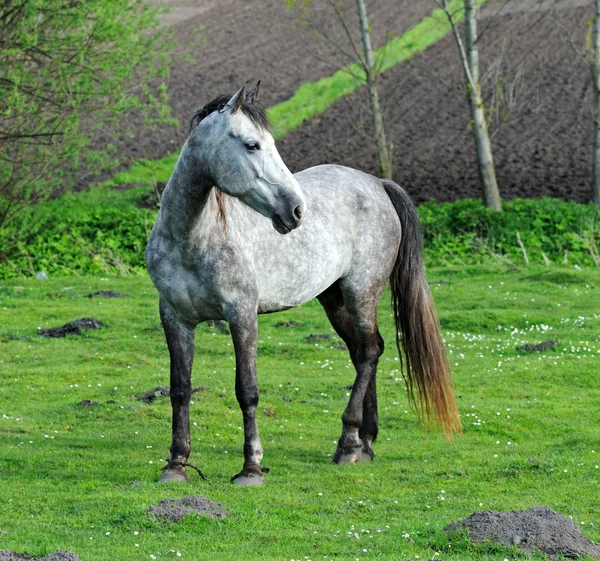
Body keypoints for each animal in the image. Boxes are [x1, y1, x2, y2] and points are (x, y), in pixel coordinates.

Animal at [146, 82, 464, 486]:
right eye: (252, 145)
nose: (296, 210)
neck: (193, 239)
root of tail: (377, 184)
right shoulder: (174, 318)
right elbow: (180, 390)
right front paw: (176, 464)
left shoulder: (242, 315)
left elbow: (247, 390)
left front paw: (251, 468)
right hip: (333, 299)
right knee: (361, 352)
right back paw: (366, 442)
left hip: (361, 292)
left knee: (370, 351)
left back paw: (348, 444)